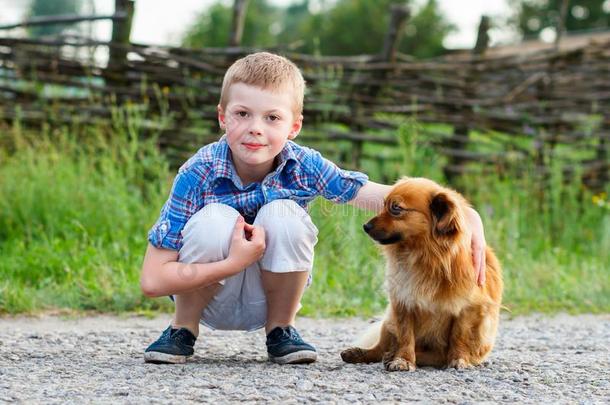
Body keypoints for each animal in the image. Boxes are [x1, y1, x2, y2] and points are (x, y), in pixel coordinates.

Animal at [340, 177, 502, 370]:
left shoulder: (468, 307)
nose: (366, 226)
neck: (424, 256)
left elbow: (459, 335)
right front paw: (403, 360)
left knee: (436, 356)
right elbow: (405, 335)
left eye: (396, 208)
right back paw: (362, 354)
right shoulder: (403, 301)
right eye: (384, 204)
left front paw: (459, 359)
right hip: (388, 320)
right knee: (379, 349)